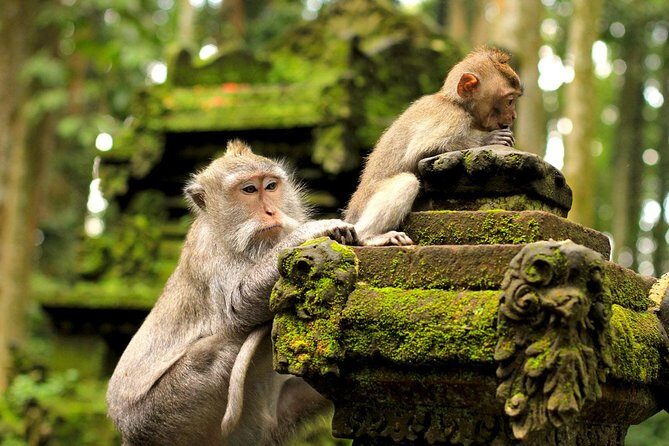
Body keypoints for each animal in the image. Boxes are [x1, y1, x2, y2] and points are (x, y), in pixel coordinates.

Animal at [106, 140, 357, 446]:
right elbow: (238, 307)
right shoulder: (209, 251)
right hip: (160, 417)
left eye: (270, 186)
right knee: (216, 348)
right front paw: (311, 231)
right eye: (249, 190)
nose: (271, 212)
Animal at [345, 47, 523, 246]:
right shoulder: (452, 117)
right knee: (407, 182)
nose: (513, 116)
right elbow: (419, 152)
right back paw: (369, 236)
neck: (455, 102)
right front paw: (489, 139)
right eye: (509, 101)